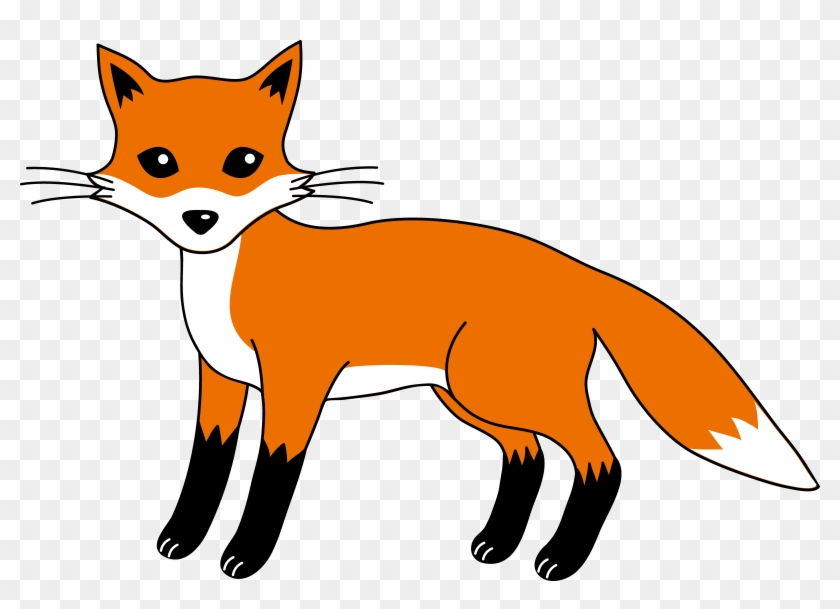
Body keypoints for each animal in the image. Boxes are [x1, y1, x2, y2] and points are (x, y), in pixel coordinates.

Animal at [22, 41, 818, 581]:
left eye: (243, 162)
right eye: (158, 162)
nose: (200, 218)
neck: (230, 279)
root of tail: (577, 268)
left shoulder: (296, 382)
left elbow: (271, 475)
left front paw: (246, 554)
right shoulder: (220, 379)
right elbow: (206, 464)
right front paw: (181, 539)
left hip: (505, 389)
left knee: (601, 463)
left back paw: (559, 558)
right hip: (467, 396)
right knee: (527, 457)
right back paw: (497, 545)